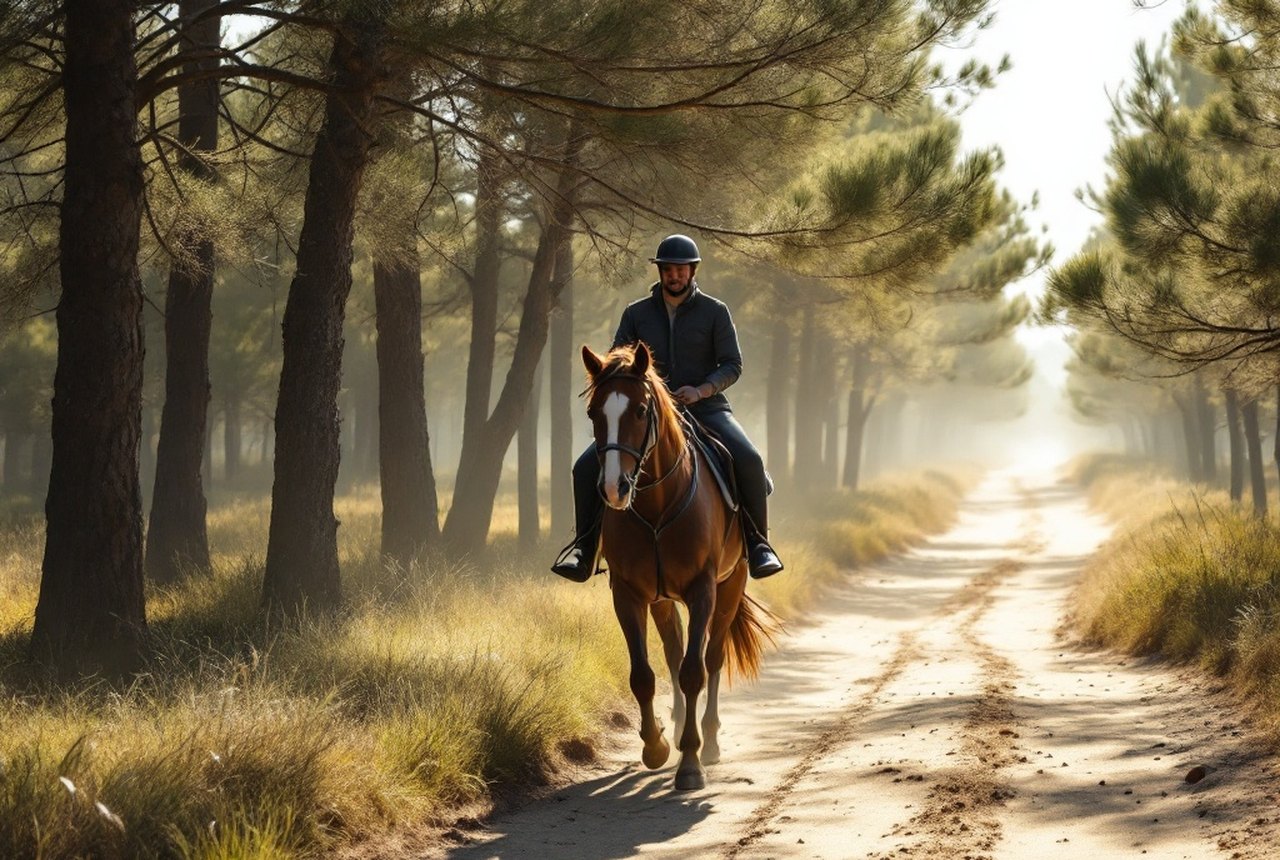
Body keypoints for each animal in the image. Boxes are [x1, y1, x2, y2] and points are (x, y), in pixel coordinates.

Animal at [581, 341, 778, 791]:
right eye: (594, 412)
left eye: (640, 410)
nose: (614, 489)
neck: (657, 504)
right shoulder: (629, 594)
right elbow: (643, 674)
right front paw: (655, 746)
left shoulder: (703, 590)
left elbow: (694, 671)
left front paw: (690, 762)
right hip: (662, 599)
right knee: (672, 653)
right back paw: (674, 726)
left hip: (730, 587)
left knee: (713, 658)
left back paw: (711, 741)